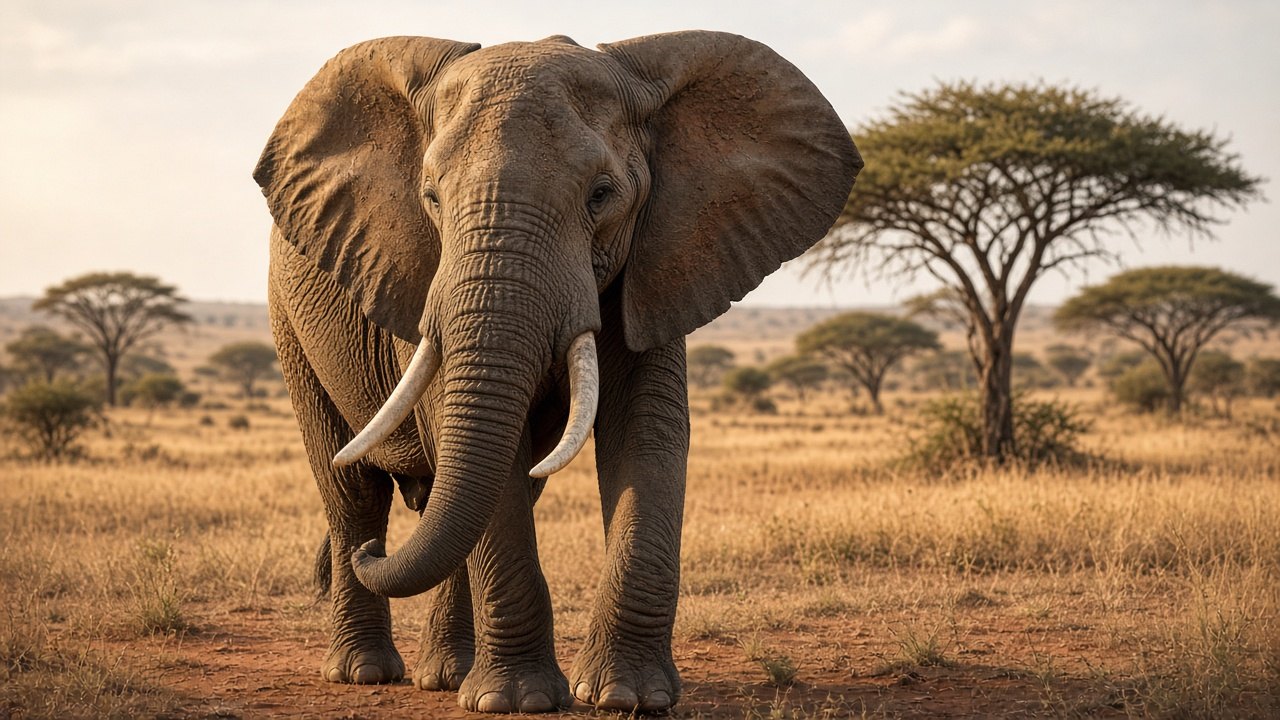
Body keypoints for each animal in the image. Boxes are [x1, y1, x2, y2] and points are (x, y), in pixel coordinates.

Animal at [254, 31, 860, 713]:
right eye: (431, 197)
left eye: (601, 195)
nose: (369, 557)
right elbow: (493, 457)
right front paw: (516, 703)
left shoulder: (658, 261)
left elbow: (647, 433)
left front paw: (628, 696)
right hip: (290, 326)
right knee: (354, 488)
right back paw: (364, 669)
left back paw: (443, 672)